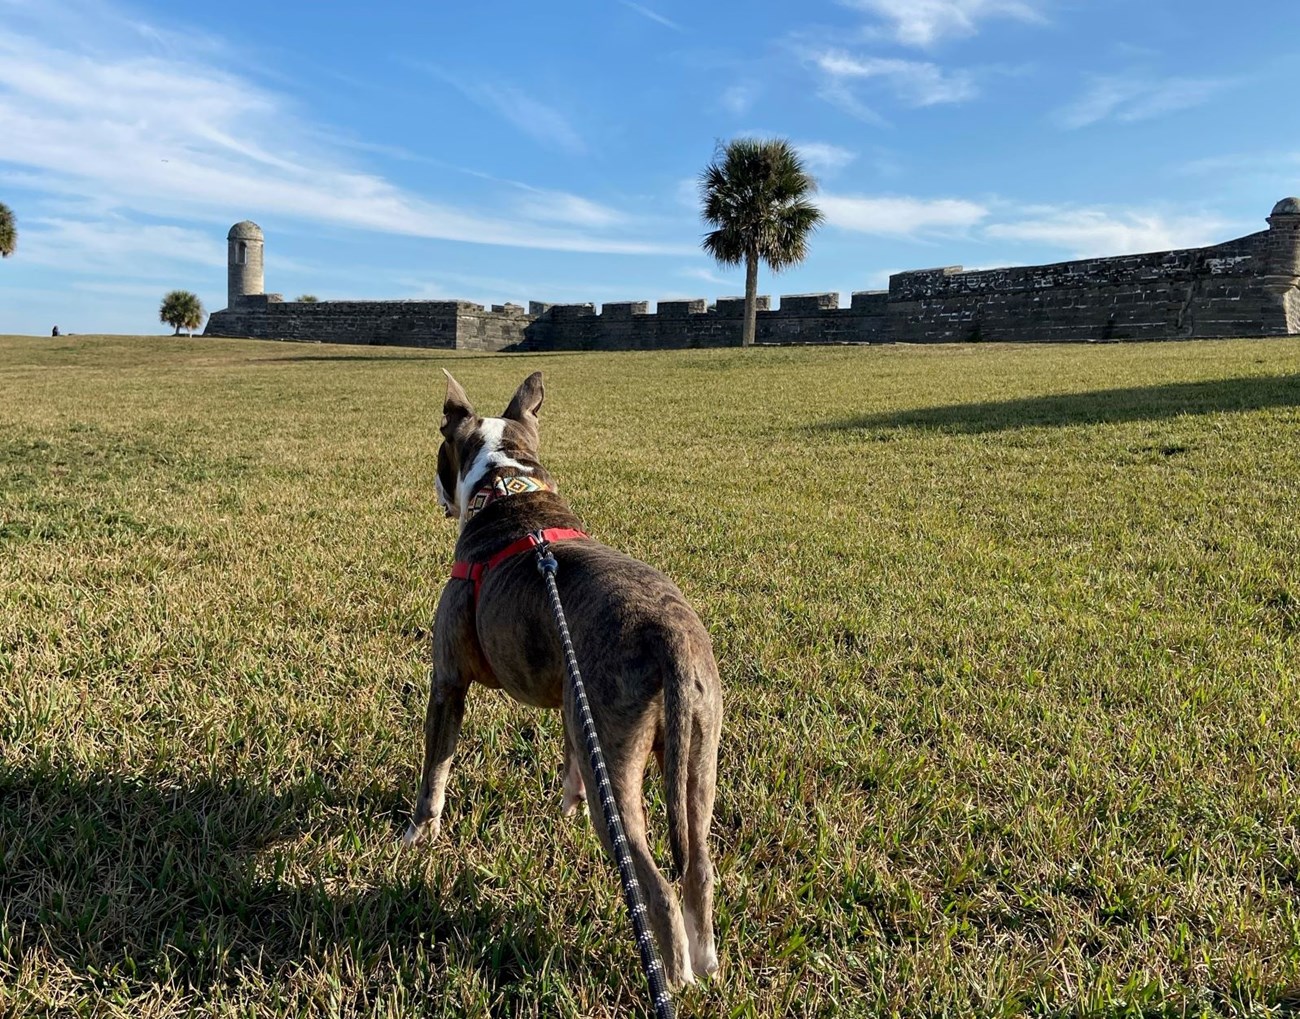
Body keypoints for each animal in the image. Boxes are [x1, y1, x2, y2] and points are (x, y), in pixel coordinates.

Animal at [405, 369, 722, 982]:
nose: (432, 488)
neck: (508, 487)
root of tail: (668, 637)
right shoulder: (573, 705)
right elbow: (573, 755)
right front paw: (565, 801)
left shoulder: (447, 683)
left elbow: (435, 770)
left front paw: (416, 836)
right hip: (698, 750)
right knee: (697, 867)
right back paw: (709, 965)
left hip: (624, 766)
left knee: (657, 889)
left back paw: (676, 979)